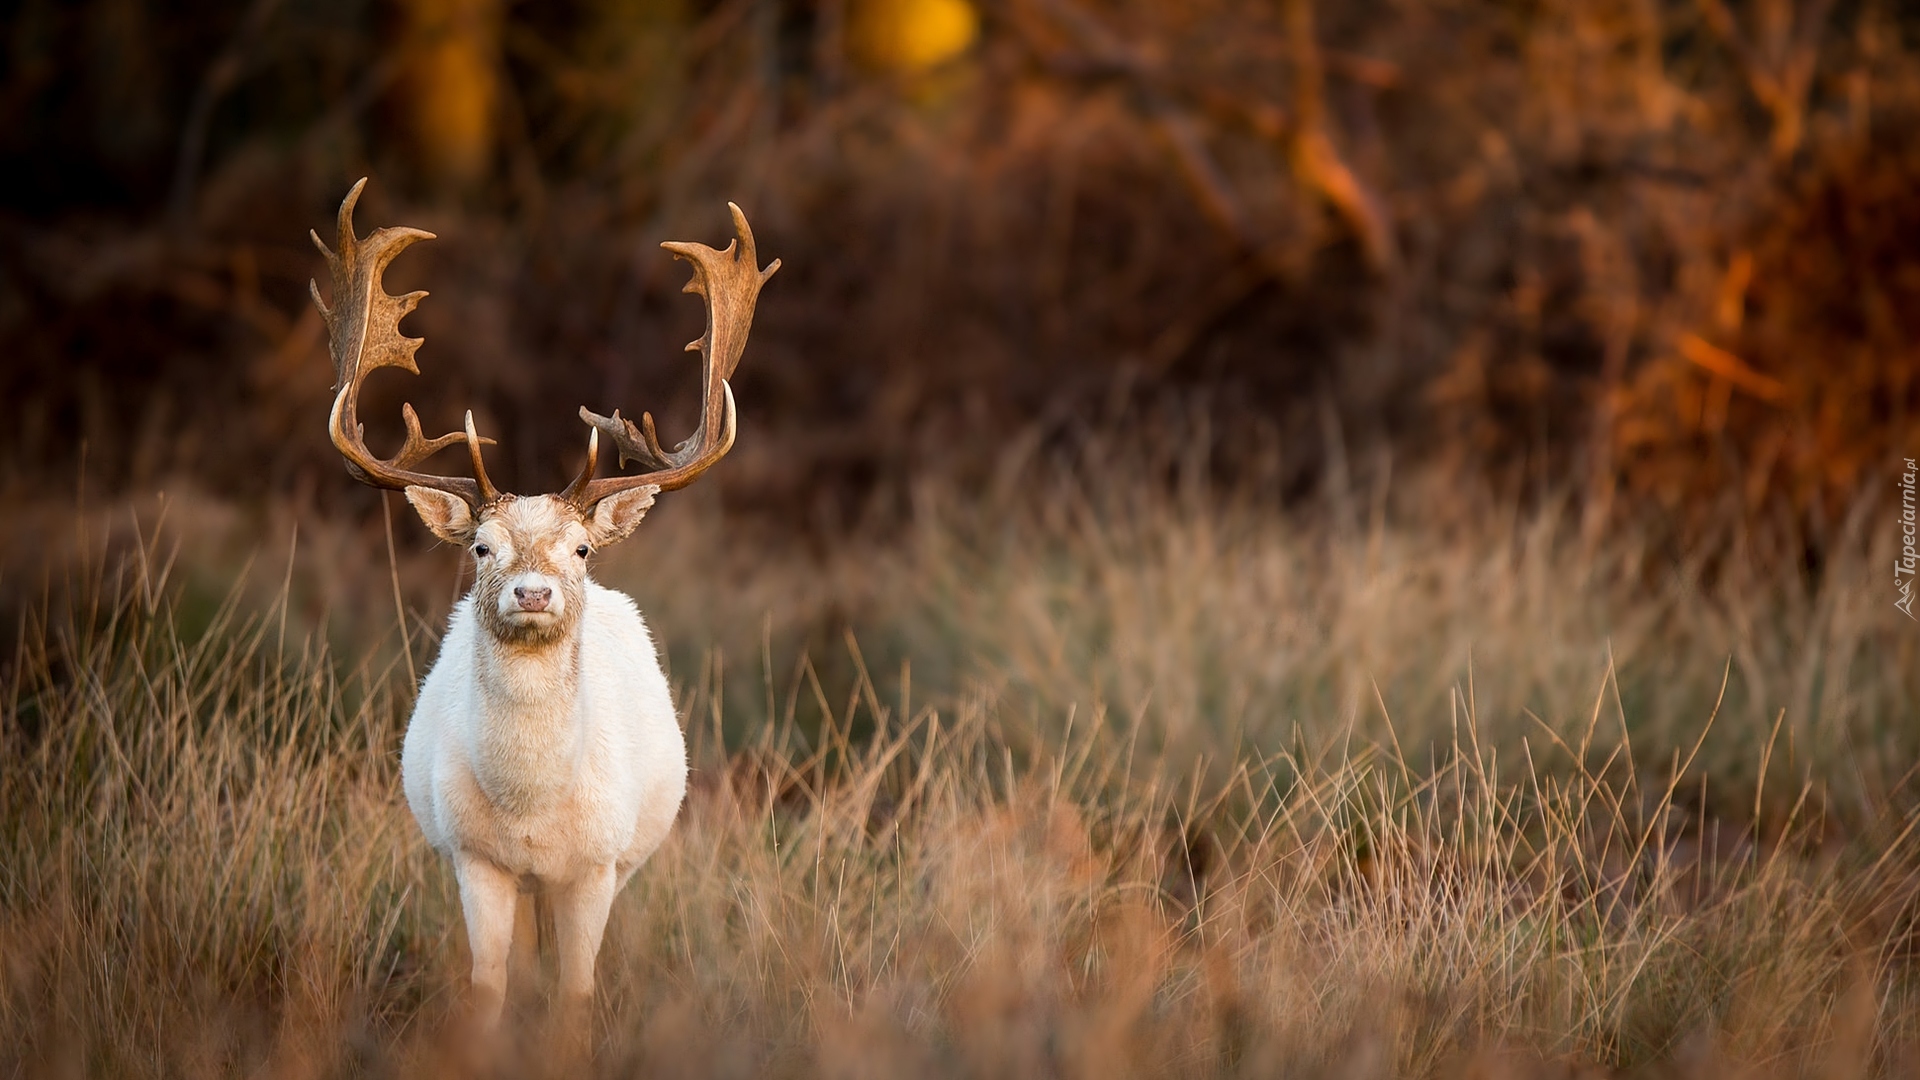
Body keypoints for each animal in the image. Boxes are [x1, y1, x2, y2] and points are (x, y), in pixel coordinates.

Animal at [311, 178, 775, 1037]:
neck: (528, 807)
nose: (533, 591)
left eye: (582, 548)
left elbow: (574, 995)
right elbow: (491, 986)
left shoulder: (593, 865)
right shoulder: (476, 859)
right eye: (480, 546)